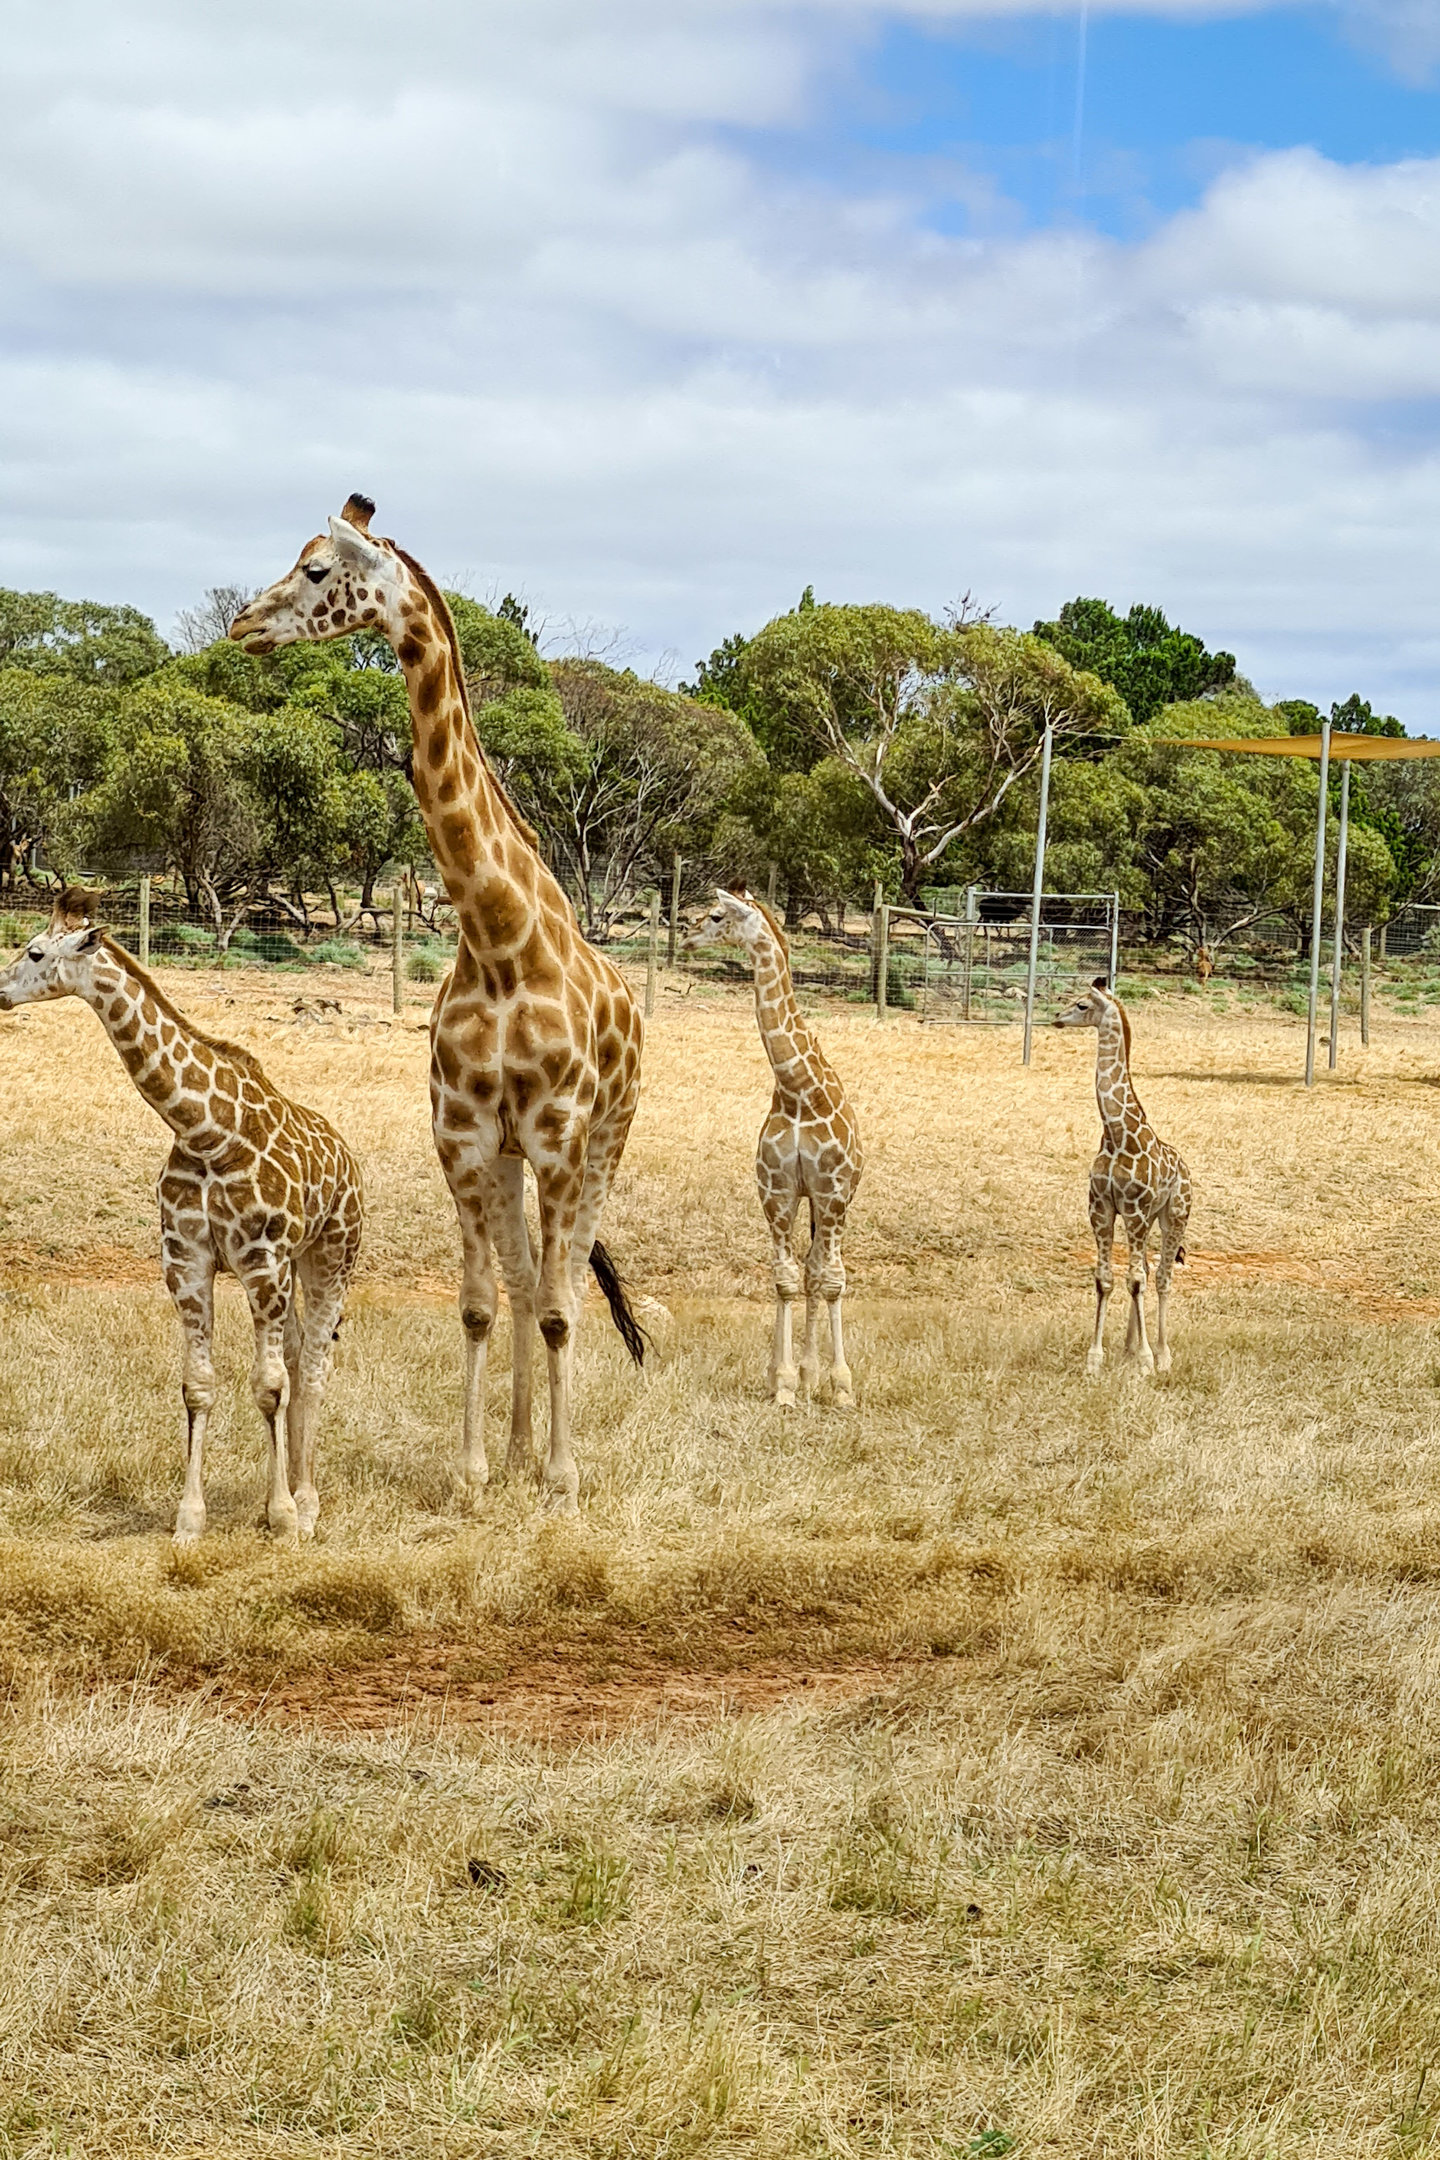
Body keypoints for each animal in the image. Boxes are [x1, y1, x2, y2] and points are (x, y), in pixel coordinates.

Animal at [0, 888, 363, 1543]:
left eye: (36, 951)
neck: (205, 1131)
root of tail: (349, 1159)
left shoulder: (261, 1263)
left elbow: (269, 1387)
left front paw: (280, 1515)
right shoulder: (187, 1262)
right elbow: (199, 1388)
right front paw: (189, 1519)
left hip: (332, 1258)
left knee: (315, 1369)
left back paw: (307, 1504)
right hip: (294, 1268)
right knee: (301, 1358)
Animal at [230, 497, 645, 1514]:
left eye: (313, 571)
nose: (244, 624)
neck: (498, 940)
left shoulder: (561, 1138)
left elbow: (562, 1309)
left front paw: (563, 1482)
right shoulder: (462, 1138)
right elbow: (480, 1304)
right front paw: (474, 1474)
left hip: (604, 1143)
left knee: (567, 1288)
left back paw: (550, 1457)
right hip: (510, 1161)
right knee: (527, 1281)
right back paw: (522, 1444)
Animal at [685, 889, 861, 1408]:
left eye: (716, 916)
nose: (687, 935)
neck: (798, 1090)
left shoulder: (833, 1192)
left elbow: (832, 1280)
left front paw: (842, 1387)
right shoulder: (777, 1193)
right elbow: (784, 1279)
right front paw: (782, 1382)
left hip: (831, 1205)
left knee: (822, 1272)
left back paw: (822, 1379)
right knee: (808, 1272)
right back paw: (805, 1376)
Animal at [1054, 976, 1191, 1378]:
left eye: (1082, 1005)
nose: (1057, 1018)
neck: (1116, 1134)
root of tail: (1186, 1168)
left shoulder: (1135, 1209)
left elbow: (1136, 1280)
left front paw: (1146, 1360)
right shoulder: (1101, 1209)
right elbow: (1107, 1279)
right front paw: (1095, 1358)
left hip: (1173, 1215)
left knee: (1161, 1277)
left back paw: (1162, 1355)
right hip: (1148, 1219)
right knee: (1145, 1271)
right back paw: (1130, 1348)